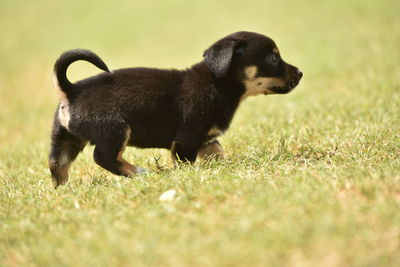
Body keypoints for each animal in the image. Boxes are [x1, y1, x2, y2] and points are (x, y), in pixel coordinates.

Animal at [48, 31, 302, 187]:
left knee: (57, 163)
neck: (217, 83)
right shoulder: (186, 140)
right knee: (103, 157)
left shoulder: (208, 139)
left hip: (66, 138)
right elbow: (186, 163)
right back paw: (139, 172)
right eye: (273, 58)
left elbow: (219, 155)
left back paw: (64, 190)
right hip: (115, 130)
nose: (300, 73)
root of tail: (71, 90)